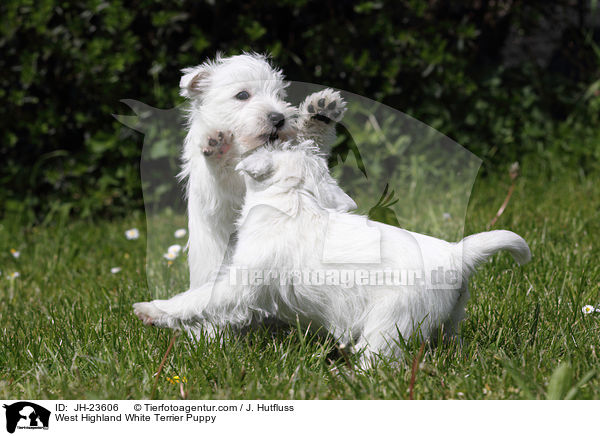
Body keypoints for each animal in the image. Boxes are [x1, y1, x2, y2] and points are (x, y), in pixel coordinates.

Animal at [134, 140, 532, 368]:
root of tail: (456, 255)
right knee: (451, 343)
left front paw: (153, 311)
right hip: (449, 320)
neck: (292, 200)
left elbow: (197, 298)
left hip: (389, 324)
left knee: (379, 359)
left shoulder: (241, 283)